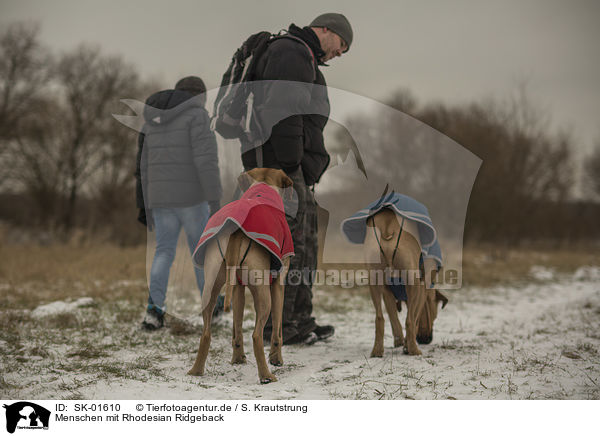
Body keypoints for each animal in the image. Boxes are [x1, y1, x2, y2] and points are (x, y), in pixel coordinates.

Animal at [186, 169, 292, 384]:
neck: (263, 187)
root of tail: (235, 229)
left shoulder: (238, 288)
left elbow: (237, 325)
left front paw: (238, 358)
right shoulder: (278, 284)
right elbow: (277, 330)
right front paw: (277, 359)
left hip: (211, 283)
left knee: (206, 333)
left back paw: (197, 370)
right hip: (264, 296)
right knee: (257, 335)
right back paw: (266, 375)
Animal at [366, 209, 446, 358]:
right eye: (435, 315)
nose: (427, 340)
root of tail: (388, 227)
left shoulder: (387, 291)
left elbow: (394, 317)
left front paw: (400, 342)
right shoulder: (421, 289)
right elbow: (414, 319)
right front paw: (407, 345)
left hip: (374, 278)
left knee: (379, 317)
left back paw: (377, 350)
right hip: (412, 281)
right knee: (409, 320)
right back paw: (414, 349)